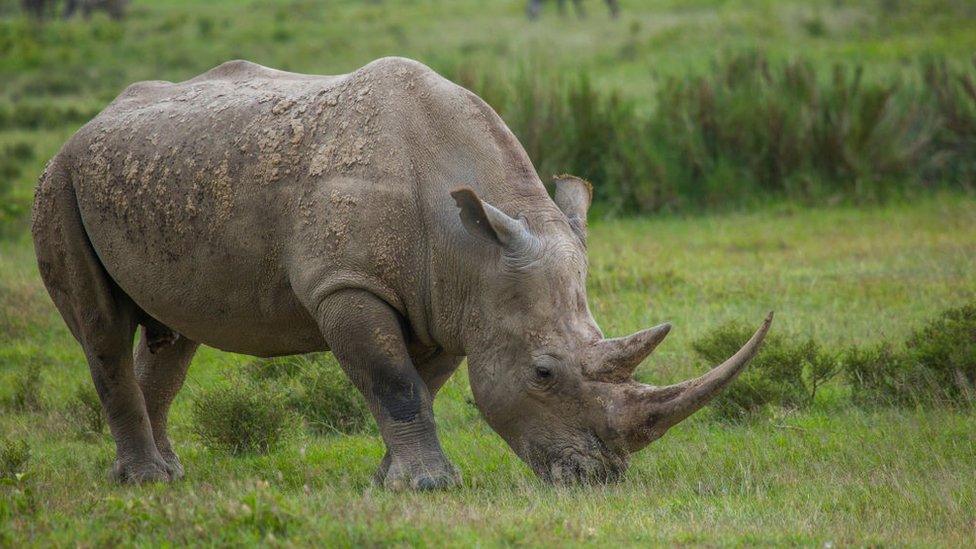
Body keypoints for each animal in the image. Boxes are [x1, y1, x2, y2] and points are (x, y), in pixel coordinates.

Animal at [32, 57, 772, 488]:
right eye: (543, 373)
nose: (599, 476)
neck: (472, 249)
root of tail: (93, 119)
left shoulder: (450, 300)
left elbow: (424, 384)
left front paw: (392, 480)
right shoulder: (346, 283)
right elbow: (393, 381)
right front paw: (430, 486)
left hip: (143, 177)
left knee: (173, 335)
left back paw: (172, 471)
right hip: (59, 180)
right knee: (102, 331)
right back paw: (144, 482)